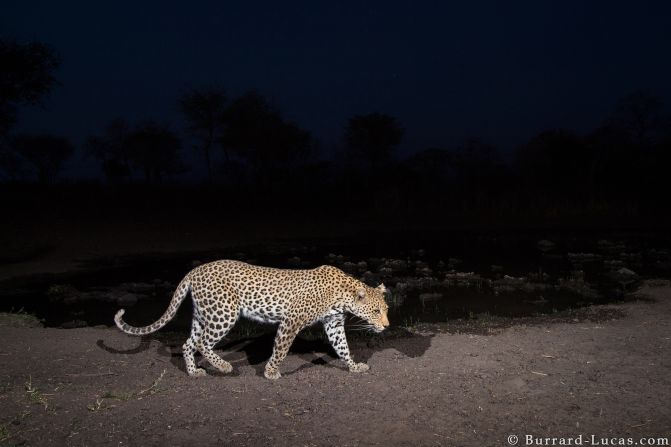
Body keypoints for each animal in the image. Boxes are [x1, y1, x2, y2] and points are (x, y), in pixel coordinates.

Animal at [113, 260, 392, 380]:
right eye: (376, 311)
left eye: (386, 309)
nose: (387, 325)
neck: (342, 296)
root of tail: (194, 271)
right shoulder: (291, 321)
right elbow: (280, 350)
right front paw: (271, 372)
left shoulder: (333, 324)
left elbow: (342, 347)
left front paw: (354, 366)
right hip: (224, 313)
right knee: (203, 343)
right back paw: (224, 366)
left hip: (204, 315)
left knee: (188, 343)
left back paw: (194, 372)